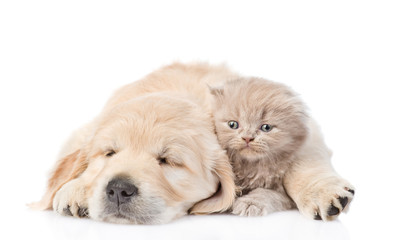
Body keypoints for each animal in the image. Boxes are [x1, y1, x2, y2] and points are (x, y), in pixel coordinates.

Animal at [211, 78, 310, 216]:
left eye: (266, 127)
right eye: (233, 124)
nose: (247, 138)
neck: (250, 168)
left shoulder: (282, 192)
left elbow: (265, 194)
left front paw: (249, 203)